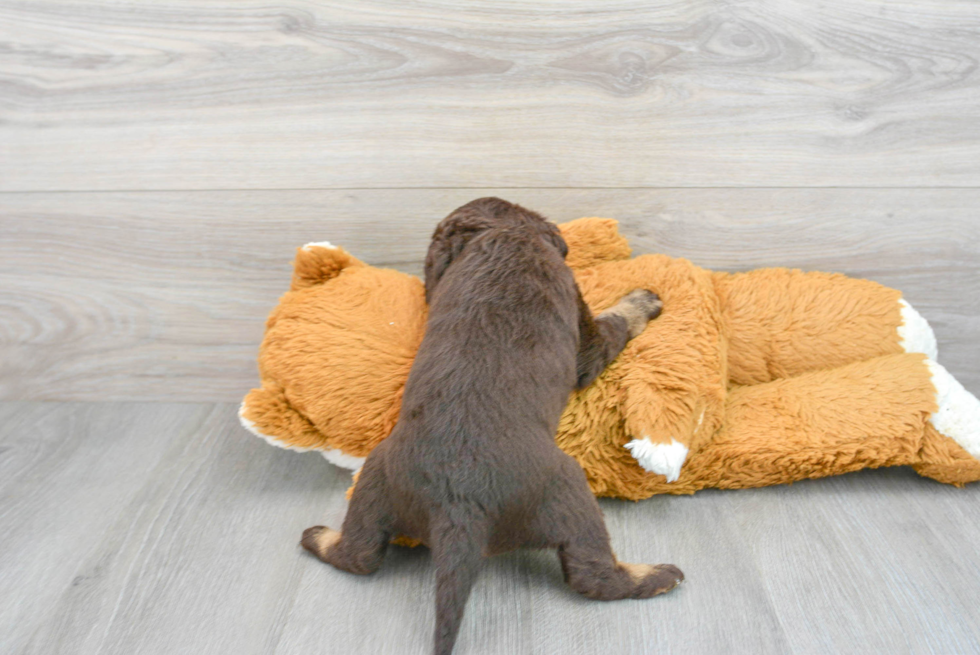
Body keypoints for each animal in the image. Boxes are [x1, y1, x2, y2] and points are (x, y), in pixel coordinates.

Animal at [300, 197, 680, 652]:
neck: (506, 235)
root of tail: (456, 506)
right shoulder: (585, 334)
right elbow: (617, 322)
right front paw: (644, 299)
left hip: (376, 482)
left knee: (361, 554)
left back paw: (317, 537)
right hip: (567, 488)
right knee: (591, 574)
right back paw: (658, 576)